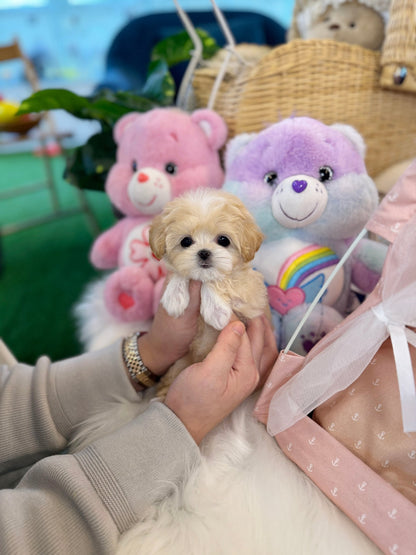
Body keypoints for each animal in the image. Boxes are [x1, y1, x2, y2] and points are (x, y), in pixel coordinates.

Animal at [149, 189, 270, 398]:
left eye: (223, 240)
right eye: (186, 241)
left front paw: (216, 311)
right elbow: (181, 273)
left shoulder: (252, 298)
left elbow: (219, 280)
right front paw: (174, 297)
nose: (204, 252)